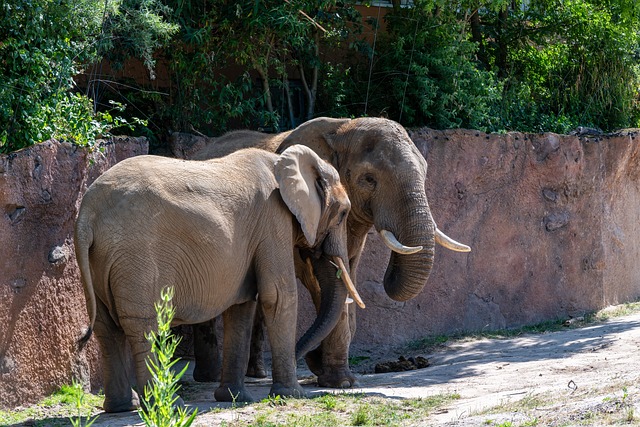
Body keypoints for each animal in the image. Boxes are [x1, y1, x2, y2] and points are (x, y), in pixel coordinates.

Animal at [74, 145, 360, 412]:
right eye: (344, 214)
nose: (311, 359)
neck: (282, 162)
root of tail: (87, 211)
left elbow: (242, 306)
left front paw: (234, 398)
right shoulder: (273, 218)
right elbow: (278, 295)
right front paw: (291, 395)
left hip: (101, 258)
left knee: (106, 328)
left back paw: (123, 407)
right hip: (136, 255)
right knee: (144, 326)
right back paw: (168, 406)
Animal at [187, 117, 470, 388]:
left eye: (424, 173)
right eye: (369, 179)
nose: (308, 356)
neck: (344, 128)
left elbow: (347, 277)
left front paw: (336, 375)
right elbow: (322, 280)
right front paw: (340, 381)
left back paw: (256, 373)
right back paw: (209, 377)